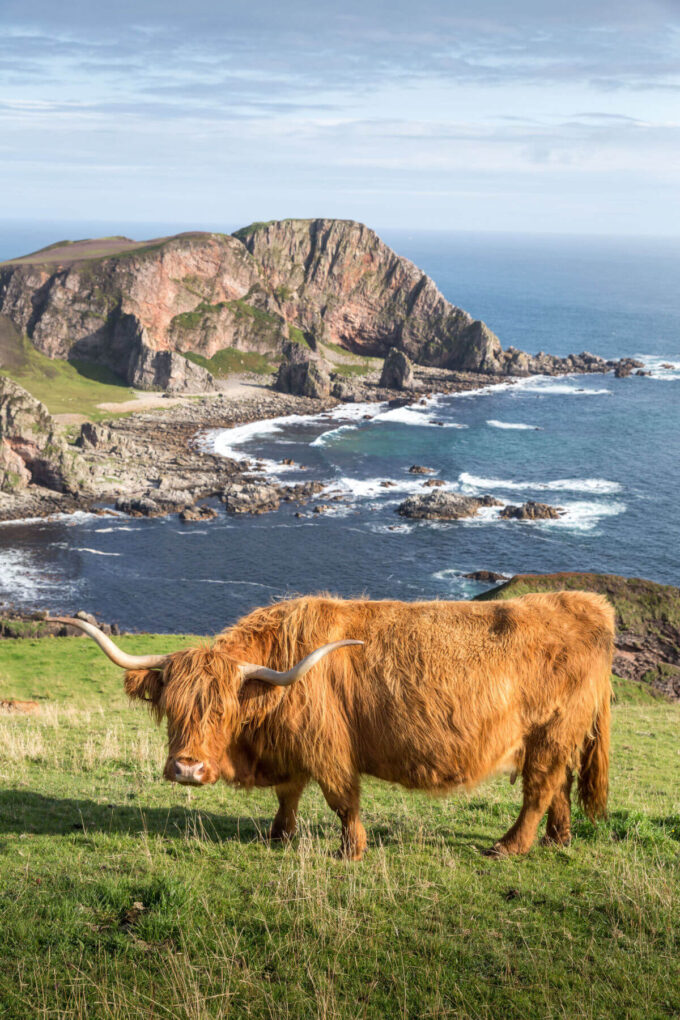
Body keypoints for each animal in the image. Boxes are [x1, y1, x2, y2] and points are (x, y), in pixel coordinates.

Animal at [53, 590, 613, 860]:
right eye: (172, 707)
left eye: (223, 710)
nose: (187, 769)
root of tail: (586, 603)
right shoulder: (291, 750)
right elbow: (288, 794)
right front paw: (278, 836)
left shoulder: (328, 746)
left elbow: (342, 800)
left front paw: (350, 852)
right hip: (558, 737)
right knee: (558, 787)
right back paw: (558, 841)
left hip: (549, 732)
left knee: (539, 789)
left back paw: (508, 847)